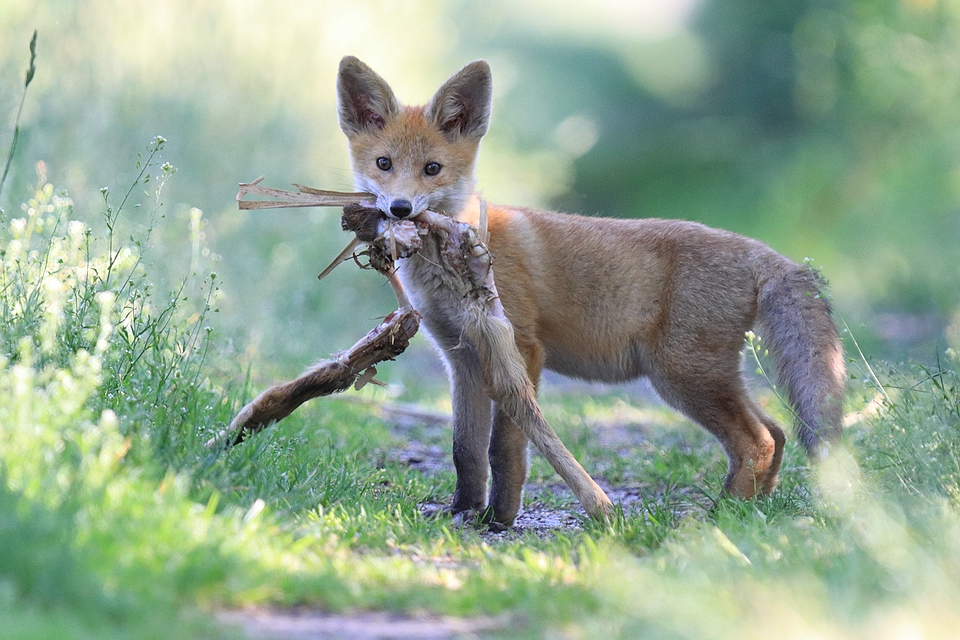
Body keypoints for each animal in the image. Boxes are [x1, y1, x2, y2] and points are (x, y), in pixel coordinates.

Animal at [338, 53, 848, 524]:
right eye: (384, 164)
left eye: (432, 168)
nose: (400, 209)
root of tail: (762, 252)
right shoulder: (461, 358)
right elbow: (465, 451)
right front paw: (463, 511)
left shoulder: (520, 348)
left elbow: (505, 449)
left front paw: (499, 519)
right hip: (706, 377)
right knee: (776, 432)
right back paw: (753, 511)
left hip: (682, 375)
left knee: (757, 440)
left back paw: (720, 517)